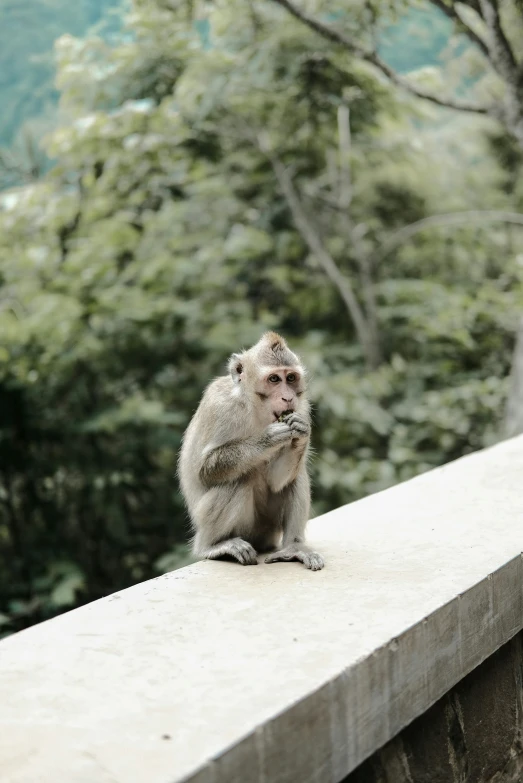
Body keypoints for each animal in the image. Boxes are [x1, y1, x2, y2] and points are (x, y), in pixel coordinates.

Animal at [178, 330, 324, 568]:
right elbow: (204, 470)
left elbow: (278, 481)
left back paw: (294, 547)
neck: (254, 408)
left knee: (295, 477)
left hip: (269, 529)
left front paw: (301, 434)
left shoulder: (302, 408)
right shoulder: (219, 407)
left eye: (290, 378)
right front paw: (267, 439)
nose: (288, 397)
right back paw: (213, 545)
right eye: (274, 379)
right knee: (240, 477)